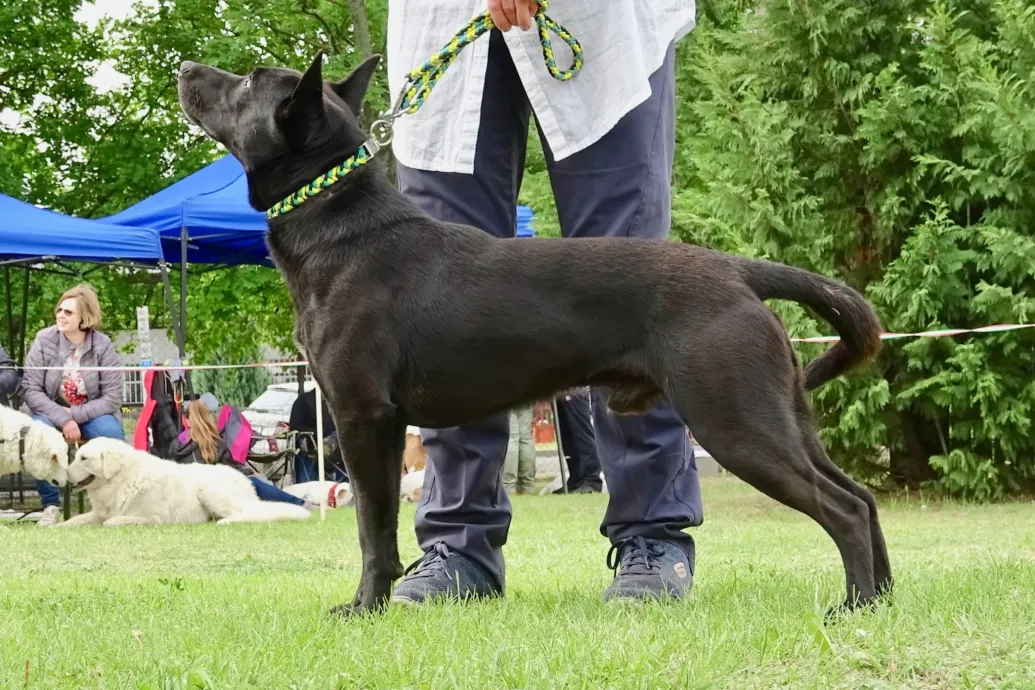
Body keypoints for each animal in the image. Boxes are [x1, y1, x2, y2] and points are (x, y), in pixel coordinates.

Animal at [59, 436, 308, 529]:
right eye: (77, 455)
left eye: (84, 458)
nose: (64, 475)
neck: (121, 480)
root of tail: (245, 480)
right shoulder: (98, 512)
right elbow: (76, 520)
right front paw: (58, 526)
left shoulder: (151, 518)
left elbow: (110, 522)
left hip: (209, 491)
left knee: (246, 515)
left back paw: (225, 522)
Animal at [178, 52, 890, 616]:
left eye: (249, 82)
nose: (185, 69)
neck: (340, 224)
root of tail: (737, 270)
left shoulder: (362, 418)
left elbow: (373, 532)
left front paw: (364, 608)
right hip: (781, 416)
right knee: (862, 496)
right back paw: (881, 600)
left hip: (734, 420)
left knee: (843, 508)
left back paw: (853, 606)